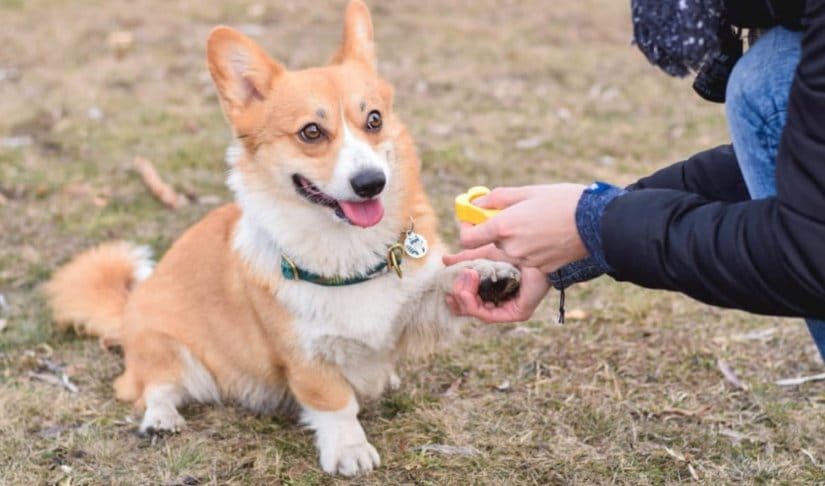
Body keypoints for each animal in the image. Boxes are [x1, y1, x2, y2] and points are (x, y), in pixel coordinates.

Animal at [45, 0, 520, 476]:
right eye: (311, 131)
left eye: (374, 119)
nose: (372, 183)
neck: (344, 246)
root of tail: (126, 309)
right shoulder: (305, 355)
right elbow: (335, 403)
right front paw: (348, 448)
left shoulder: (410, 310)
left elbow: (445, 277)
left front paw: (488, 271)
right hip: (166, 347)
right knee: (152, 387)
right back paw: (161, 419)